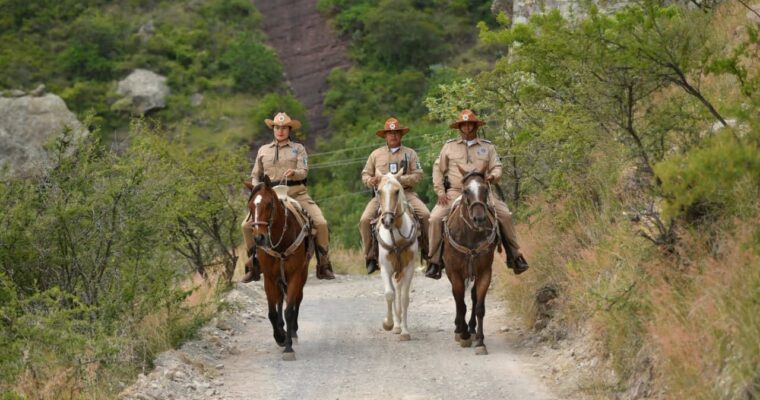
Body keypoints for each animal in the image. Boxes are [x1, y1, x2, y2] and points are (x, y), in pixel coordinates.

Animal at [244, 175, 313, 361]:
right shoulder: (268, 277)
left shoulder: (295, 275)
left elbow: (289, 310)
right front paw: (279, 337)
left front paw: (288, 347)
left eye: (269, 204)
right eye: (250, 206)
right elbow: (272, 312)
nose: (259, 238)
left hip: (302, 275)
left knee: (297, 300)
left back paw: (293, 332)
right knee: (280, 300)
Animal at [375, 170, 418, 341]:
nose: (387, 220)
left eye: (397, 191)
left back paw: (400, 324)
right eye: (378, 191)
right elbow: (389, 294)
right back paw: (396, 325)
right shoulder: (385, 268)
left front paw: (405, 331)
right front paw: (388, 324)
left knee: (399, 292)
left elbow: (405, 298)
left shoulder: (409, 268)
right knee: (394, 292)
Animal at [442, 165, 500, 355]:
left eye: (485, 189)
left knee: (473, 298)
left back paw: (472, 328)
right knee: (457, 298)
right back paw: (459, 328)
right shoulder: (455, 273)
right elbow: (460, 303)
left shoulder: (485, 272)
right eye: (466, 190)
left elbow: (480, 306)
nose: (479, 218)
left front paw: (480, 341)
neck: (470, 236)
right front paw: (464, 335)